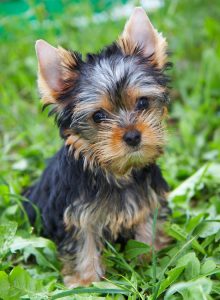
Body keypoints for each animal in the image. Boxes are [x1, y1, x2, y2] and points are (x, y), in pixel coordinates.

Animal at [24, 7, 172, 288]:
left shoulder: (147, 199)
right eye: (98, 116)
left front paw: (149, 259)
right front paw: (86, 282)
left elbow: (147, 227)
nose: (133, 136)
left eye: (142, 103)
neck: (115, 172)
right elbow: (84, 245)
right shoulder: (76, 215)